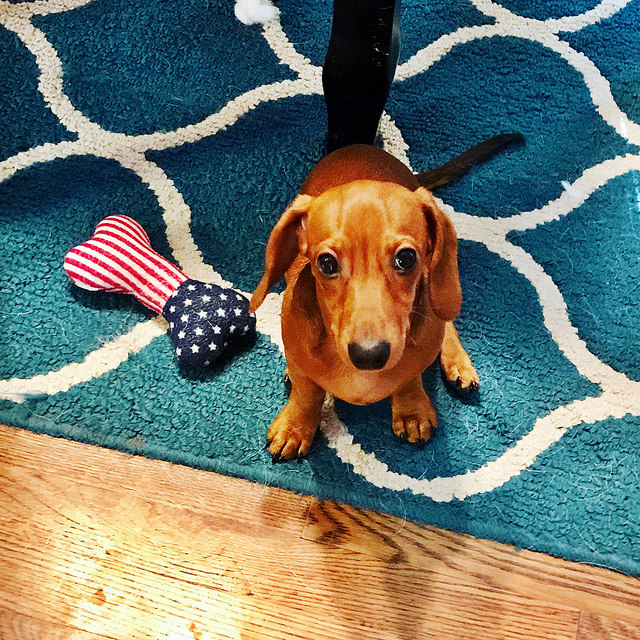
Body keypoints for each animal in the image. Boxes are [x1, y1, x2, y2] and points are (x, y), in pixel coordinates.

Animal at [250, 134, 523, 461]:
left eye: (406, 258)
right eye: (326, 263)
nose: (369, 355)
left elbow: (409, 379)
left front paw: (411, 411)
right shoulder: (299, 358)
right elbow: (306, 393)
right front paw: (295, 426)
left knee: (446, 319)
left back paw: (458, 363)